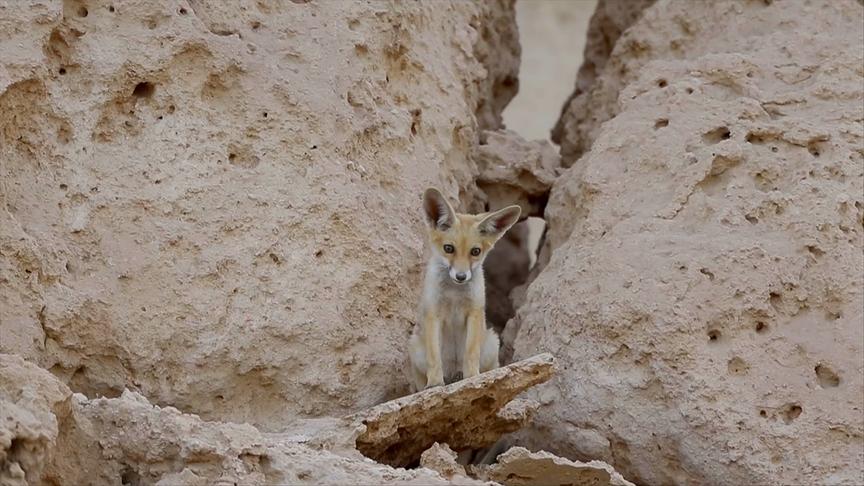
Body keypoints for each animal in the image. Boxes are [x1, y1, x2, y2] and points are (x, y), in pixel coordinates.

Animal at [408, 187, 522, 391]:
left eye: (475, 252)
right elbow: (434, 358)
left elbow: (471, 353)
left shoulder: (474, 311)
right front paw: (435, 384)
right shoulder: (433, 313)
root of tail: (453, 372)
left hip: (492, 343)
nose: (461, 276)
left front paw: (472, 378)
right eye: (448, 248)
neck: (454, 293)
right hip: (415, 348)